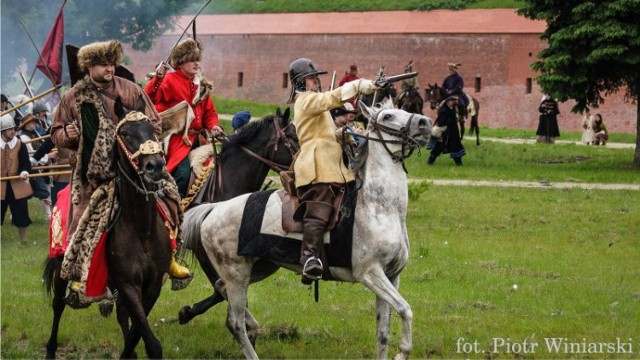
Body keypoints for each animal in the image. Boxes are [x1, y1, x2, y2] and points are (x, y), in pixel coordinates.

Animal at [182, 100, 432, 360]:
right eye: (388, 116)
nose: (425, 123)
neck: (378, 206)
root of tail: (214, 209)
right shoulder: (371, 274)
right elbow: (406, 309)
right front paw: (403, 352)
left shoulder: (391, 276)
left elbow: (383, 333)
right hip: (236, 272)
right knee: (235, 322)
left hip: (259, 267)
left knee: (222, 292)